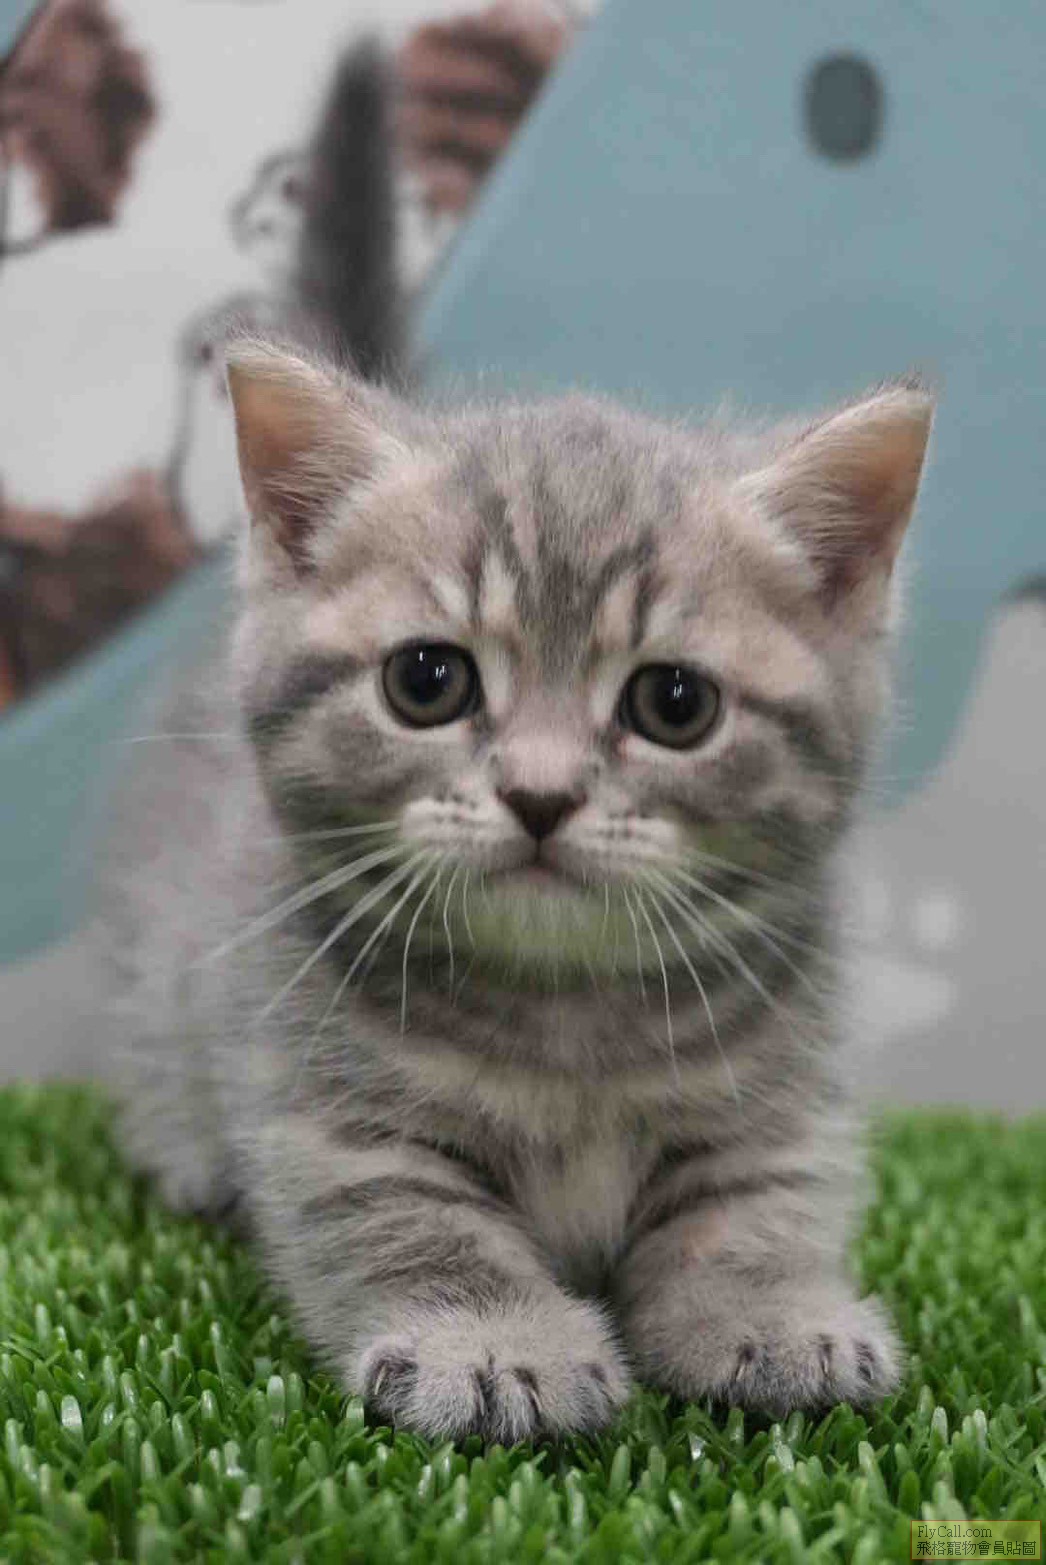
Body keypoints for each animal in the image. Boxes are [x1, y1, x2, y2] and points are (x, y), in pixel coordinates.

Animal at [100, 331, 933, 1441]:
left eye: (675, 703)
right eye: (426, 679)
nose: (540, 794)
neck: (567, 1014)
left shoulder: (776, 1086)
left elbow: (757, 1204)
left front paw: (774, 1313)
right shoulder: (327, 1109)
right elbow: (416, 1220)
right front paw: (494, 1342)